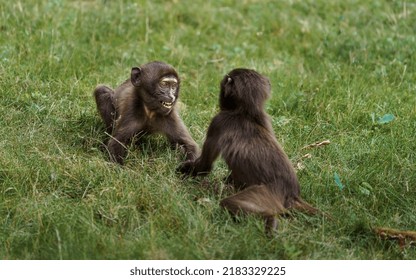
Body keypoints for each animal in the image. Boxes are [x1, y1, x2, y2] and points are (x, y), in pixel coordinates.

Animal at [178, 68, 318, 234]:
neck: (245, 113)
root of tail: (292, 194)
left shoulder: (218, 122)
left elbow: (205, 166)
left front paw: (183, 170)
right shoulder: (265, 119)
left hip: (265, 194)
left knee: (229, 203)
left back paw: (270, 220)